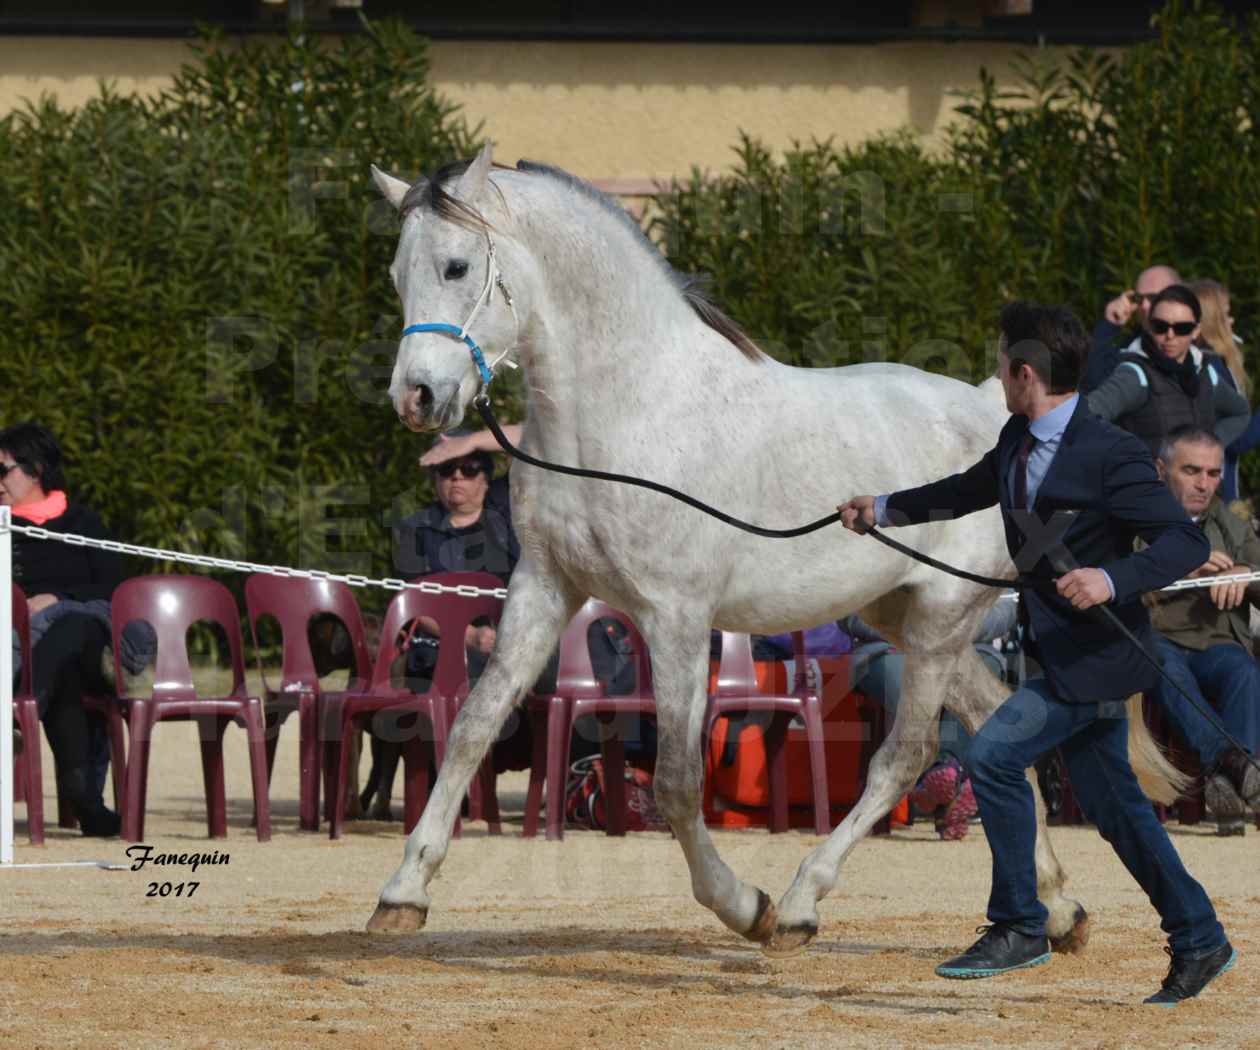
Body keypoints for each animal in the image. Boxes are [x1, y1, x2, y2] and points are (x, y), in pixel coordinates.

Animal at [360, 143, 1174, 952]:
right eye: (396, 274)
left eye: (458, 266)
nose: (416, 399)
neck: (629, 410)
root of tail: (1000, 418)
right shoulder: (546, 587)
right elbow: (472, 729)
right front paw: (402, 894)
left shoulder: (676, 616)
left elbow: (678, 780)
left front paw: (742, 905)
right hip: (906, 617)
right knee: (996, 724)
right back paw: (1061, 909)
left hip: (943, 617)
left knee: (907, 756)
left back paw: (800, 904)